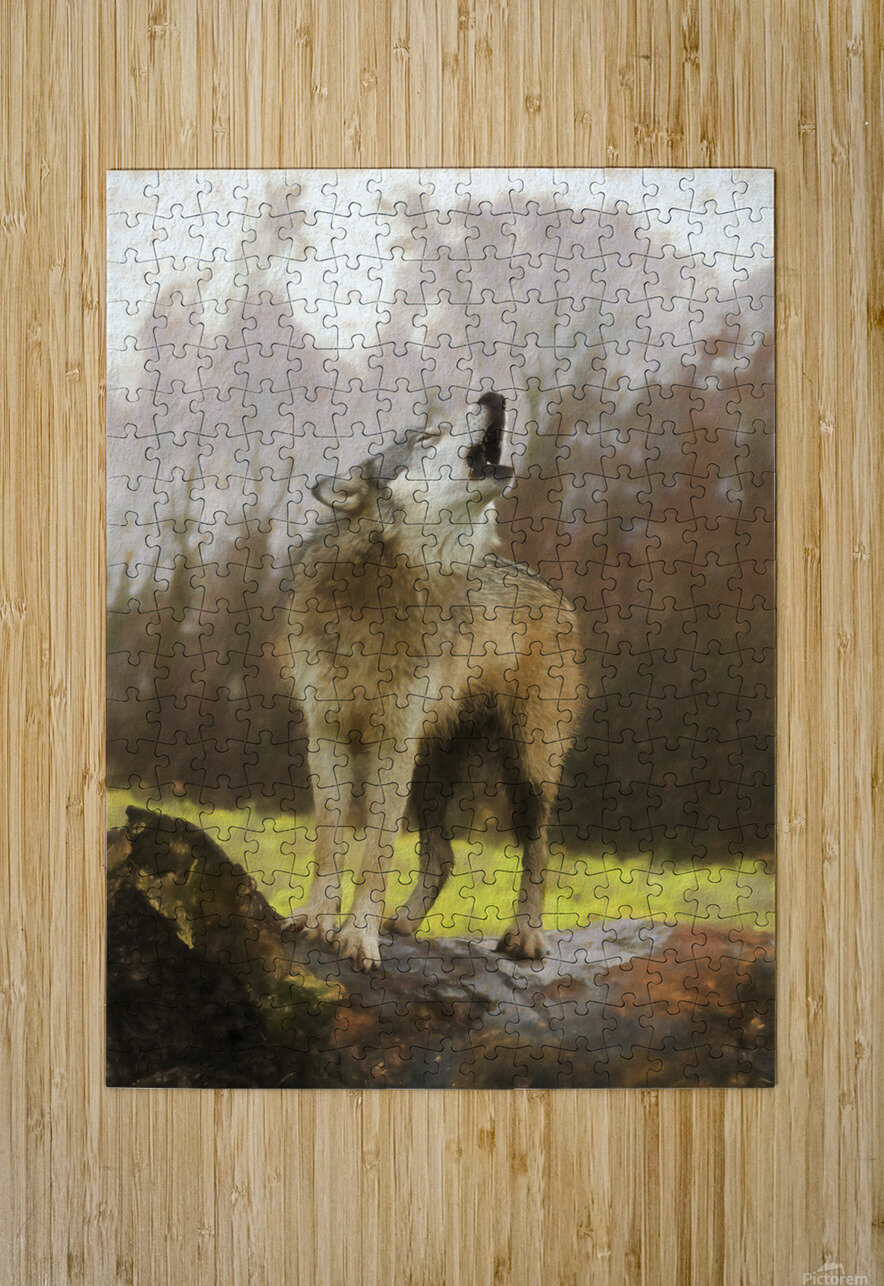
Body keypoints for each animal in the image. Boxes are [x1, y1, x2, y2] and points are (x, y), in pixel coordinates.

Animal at [283, 393, 581, 971]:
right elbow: (330, 841)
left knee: (538, 850)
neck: (382, 599)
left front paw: (358, 938)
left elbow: (375, 856)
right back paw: (403, 923)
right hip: (430, 769)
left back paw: (526, 937)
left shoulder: (391, 747)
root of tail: (550, 588)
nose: (494, 396)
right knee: (443, 858)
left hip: (528, 765)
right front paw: (316, 920)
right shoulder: (326, 736)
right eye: (427, 439)